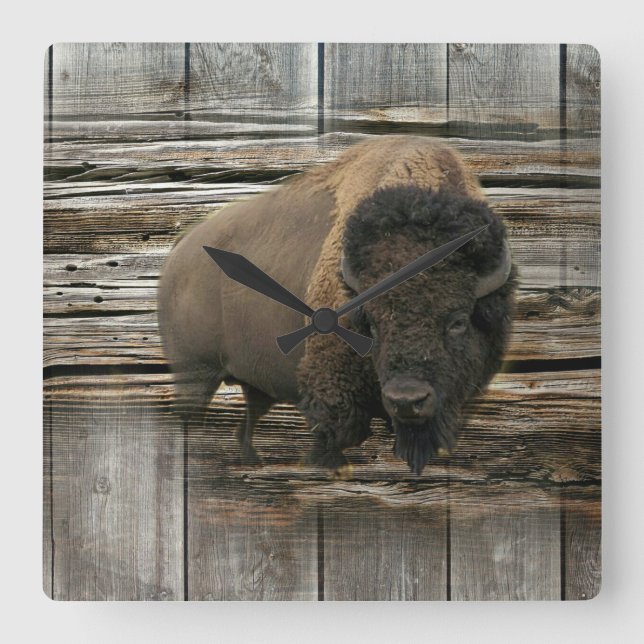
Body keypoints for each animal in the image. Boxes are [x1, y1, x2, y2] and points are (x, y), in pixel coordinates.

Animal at [158, 135, 516, 475]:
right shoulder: (333, 394)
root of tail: (180, 249)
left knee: (245, 425)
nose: (407, 400)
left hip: (251, 383)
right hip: (195, 374)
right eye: (371, 323)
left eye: (458, 321)